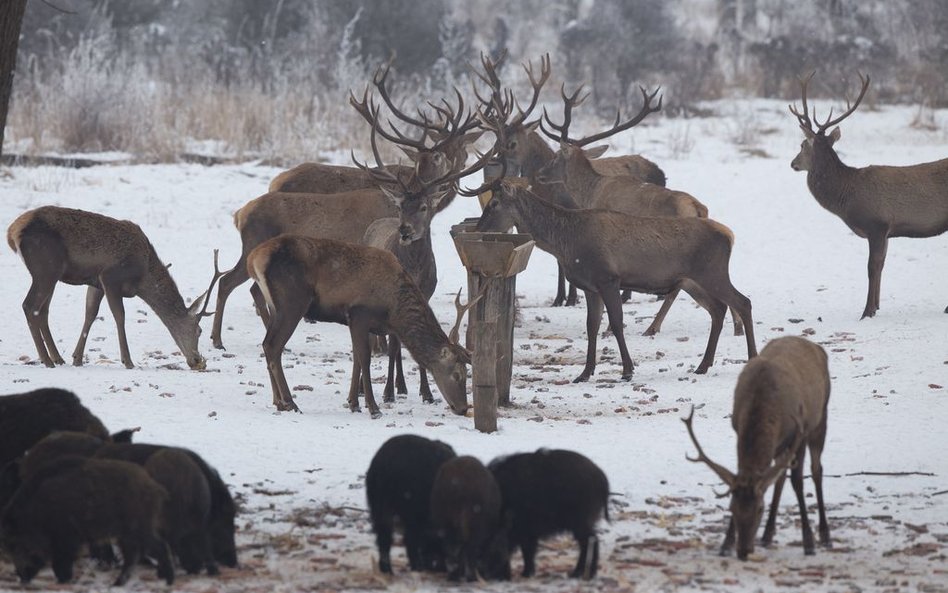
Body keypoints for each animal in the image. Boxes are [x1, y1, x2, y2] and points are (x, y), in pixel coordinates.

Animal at [8, 206, 219, 368]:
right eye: (199, 331)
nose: (197, 360)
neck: (143, 278)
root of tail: (12, 231)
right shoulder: (110, 277)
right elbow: (119, 316)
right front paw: (128, 361)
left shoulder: (96, 283)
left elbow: (90, 314)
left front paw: (77, 358)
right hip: (46, 268)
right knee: (30, 306)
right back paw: (47, 360)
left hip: (52, 275)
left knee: (43, 311)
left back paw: (57, 358)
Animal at [248, 234, 474, 414]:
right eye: (457, 375)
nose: (463, 408)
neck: (393, 310)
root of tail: (254, 258)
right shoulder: (359, 314)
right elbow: (364, 358)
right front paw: (373, 407)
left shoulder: (356, 322)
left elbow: (356, 358)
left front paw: (353, 402)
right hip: (292, 302)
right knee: (273, 346)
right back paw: (289, 402)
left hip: (276, 307)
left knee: (266, 344)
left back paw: (277, 401)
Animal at [472, 168, 756, 380]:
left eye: (494, 203)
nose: (477, 229)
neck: (566, 242)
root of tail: (729, 235)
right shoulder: (590, 286)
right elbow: (592, 326)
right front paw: (585, 373)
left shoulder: (608, 278)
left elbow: (617, 323)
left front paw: (627, 370)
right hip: (692, 282)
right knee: (718, 309)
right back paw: (703, 365)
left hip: (713, 273)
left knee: (743, 302)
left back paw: (751, 357)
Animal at [680, 336, 828, 556]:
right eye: (732, 508)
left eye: (760, 509)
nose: (743, 550)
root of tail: (815, 346)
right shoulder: (738, 430)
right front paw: (726, 544)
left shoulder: (799, 433)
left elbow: (798, 482)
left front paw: (808, 542)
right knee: (779, 476)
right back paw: (767, 535)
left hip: (820, 419)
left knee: (817, 469)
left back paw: (825, 535)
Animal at [784, 74, 948, 320]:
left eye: (803, 145)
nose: (793, 163)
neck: (847, 197)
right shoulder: (887, 231)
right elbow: (881, 266)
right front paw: (877, 306)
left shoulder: (877, 224)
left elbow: (872, 267)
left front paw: (867, 312)